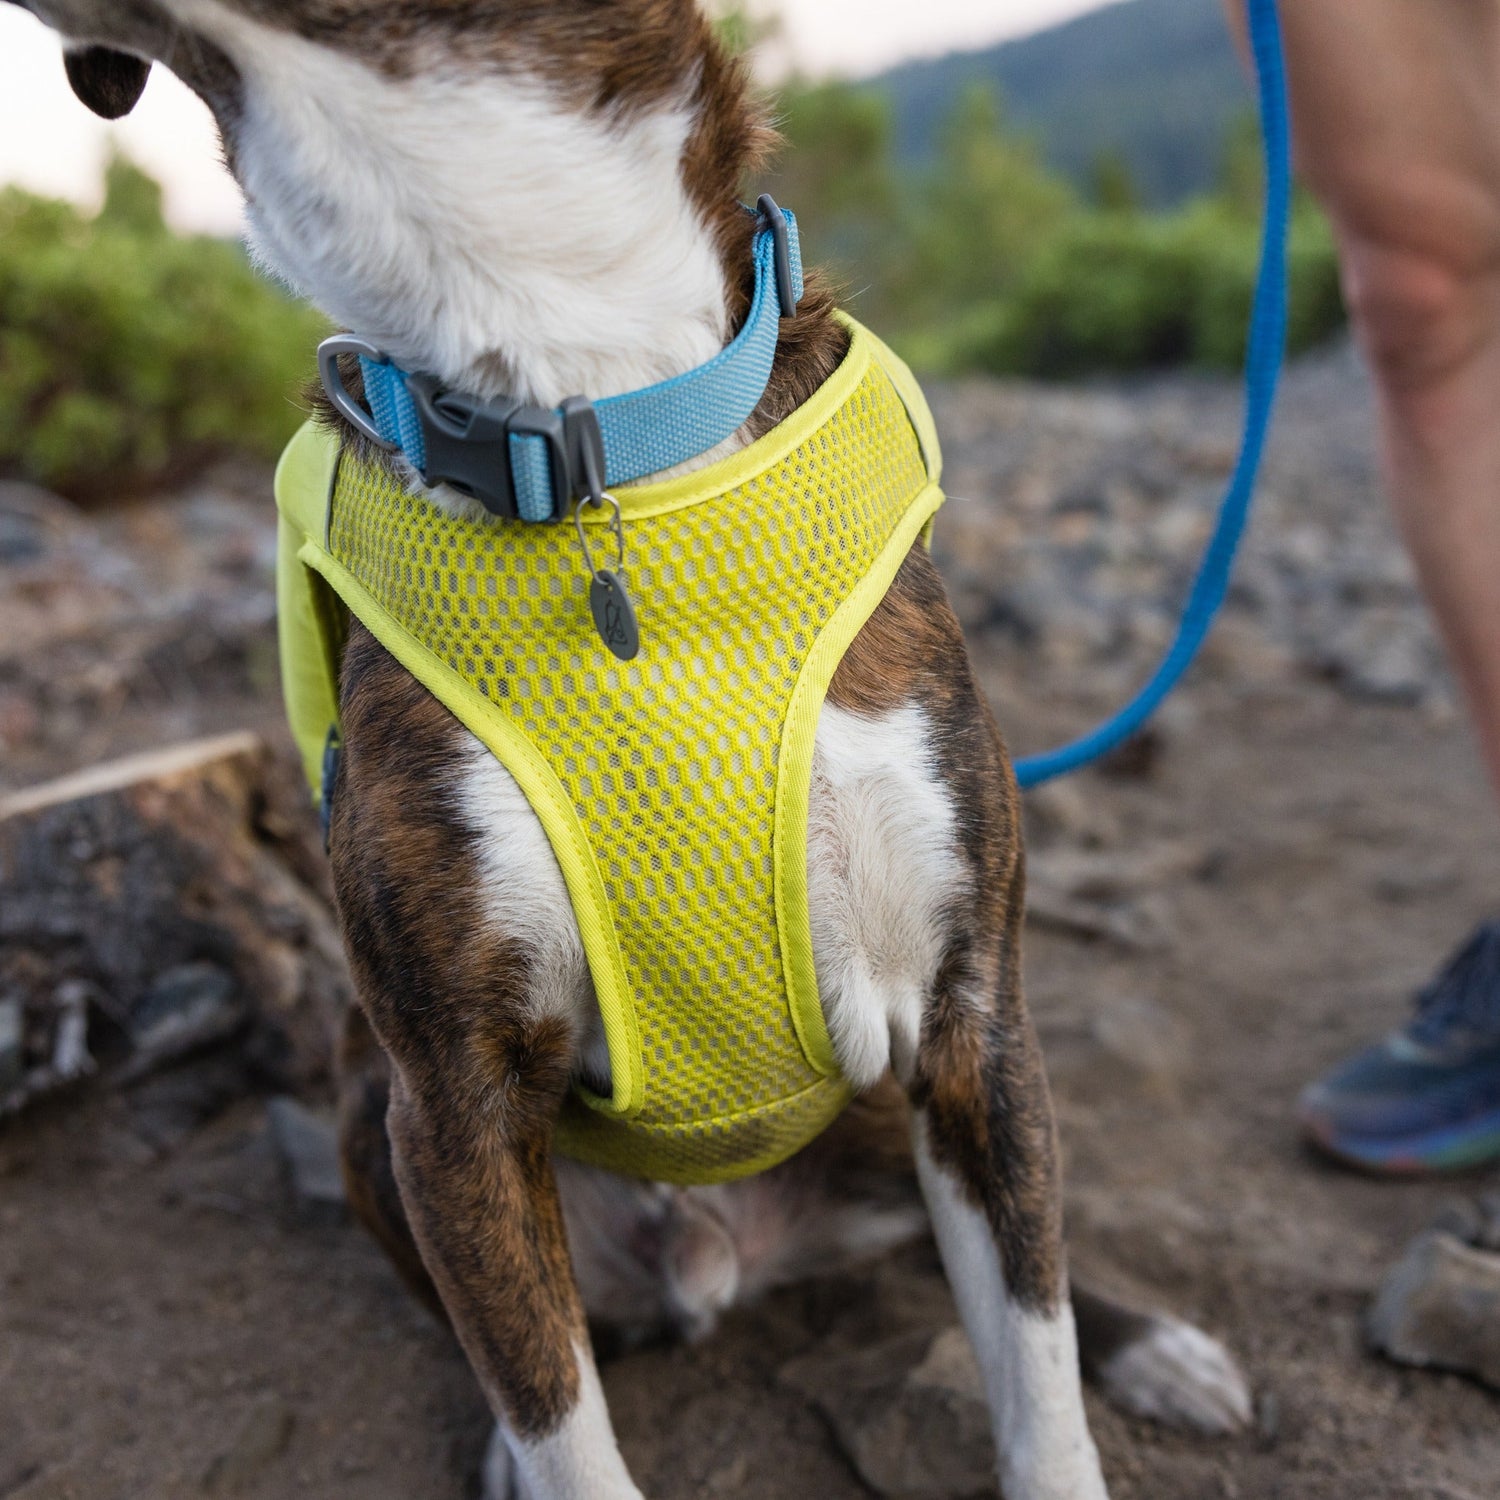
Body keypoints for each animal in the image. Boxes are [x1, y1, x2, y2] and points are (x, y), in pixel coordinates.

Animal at [5, 5, 1254, 1494]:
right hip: (374, 1117)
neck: (583, 423)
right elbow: (557, 1413)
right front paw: (528, 1444)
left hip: (902, 1112)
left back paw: (1152, 1345)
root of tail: (724, 1253)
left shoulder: (973, 1021)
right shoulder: (450, 1107)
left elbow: (1037, 1371)